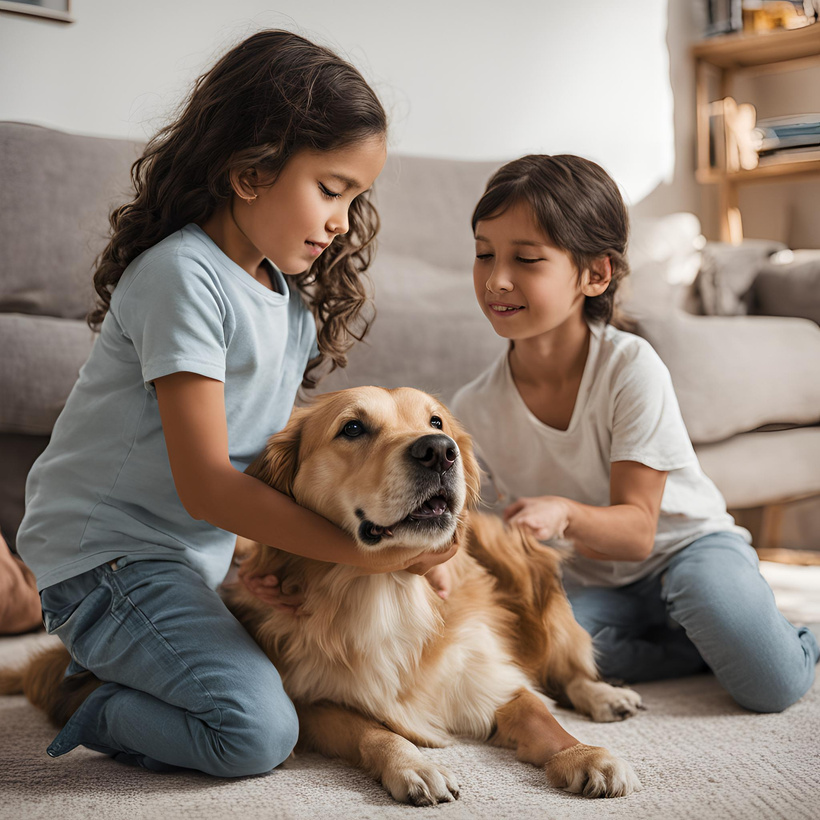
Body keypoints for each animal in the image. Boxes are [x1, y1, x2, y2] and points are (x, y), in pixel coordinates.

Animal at [223, 388, 640, 804]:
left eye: (436, 422)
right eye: (352, 428)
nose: (439, 450)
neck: (388, 590)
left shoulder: (487, 674)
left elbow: (542, 716)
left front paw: (585, 755)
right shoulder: (315, 704)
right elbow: (375, 732)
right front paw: (414, 766)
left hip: (537, 589)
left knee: (567, 672)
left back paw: (607, 696)